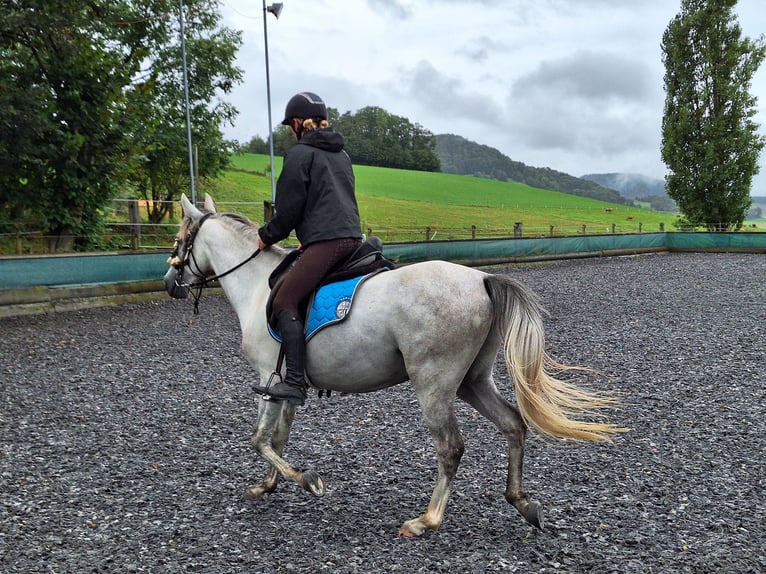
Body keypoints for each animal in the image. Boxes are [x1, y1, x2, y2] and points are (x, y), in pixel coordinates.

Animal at [164, 195, 624, 540]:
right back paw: (523, 502)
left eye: (180, 238)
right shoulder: (287, 386)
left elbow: (259, 439)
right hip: (472, 381)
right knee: (513, 424)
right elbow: (277, 438)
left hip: (434, 384)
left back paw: (427, 520)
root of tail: (481, 280)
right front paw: (268, 484)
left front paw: (307, 480)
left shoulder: (267, 377)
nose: (171, 285)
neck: (258, 285)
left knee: (451, 446)